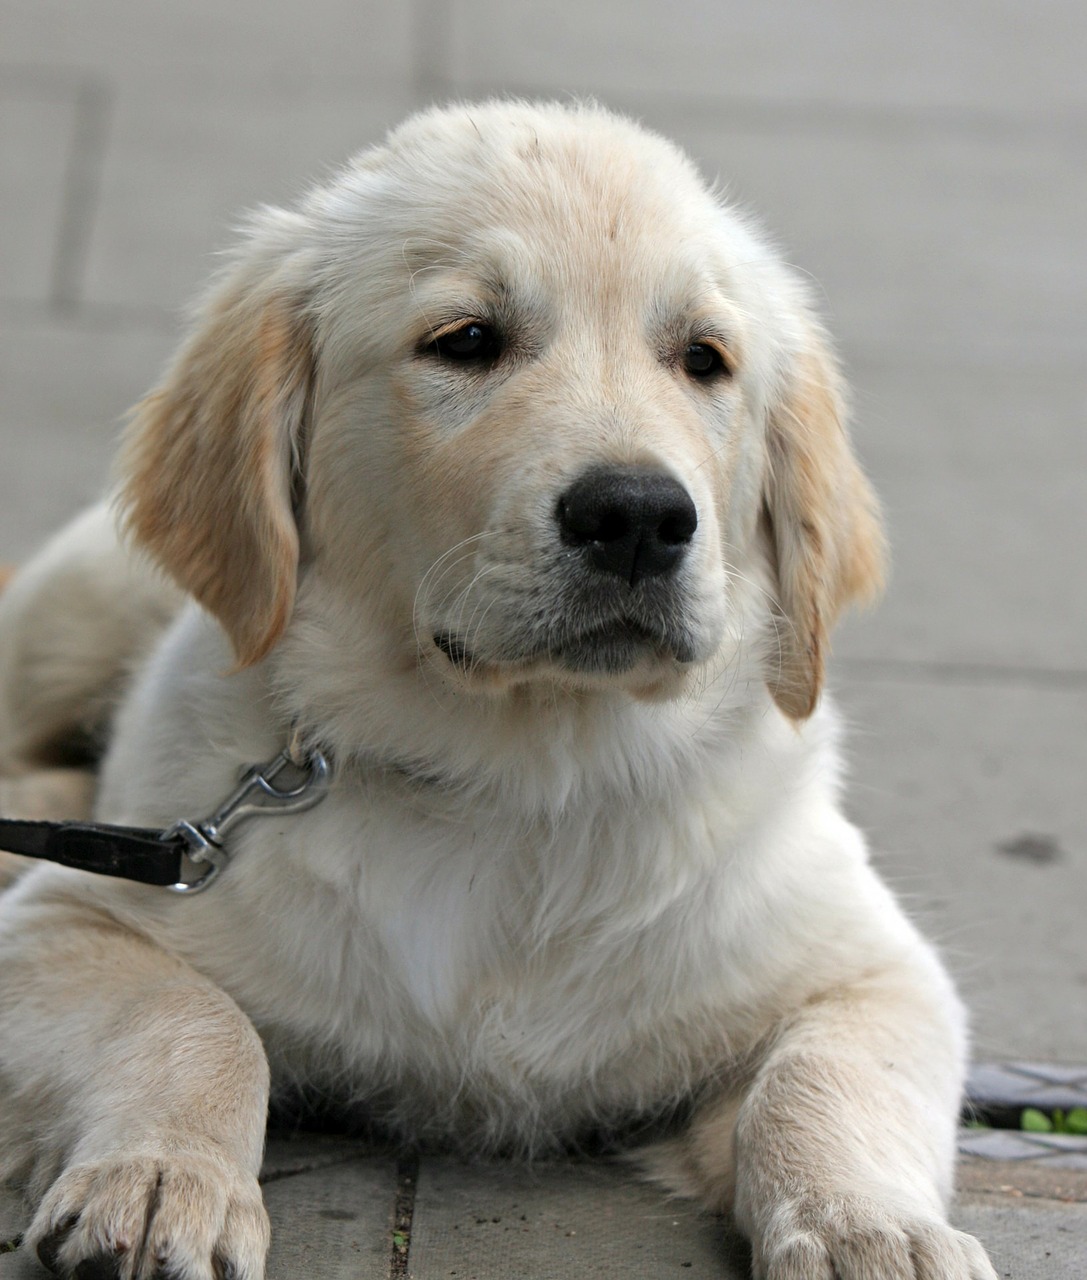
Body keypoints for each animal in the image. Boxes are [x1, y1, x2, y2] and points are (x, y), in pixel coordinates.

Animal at [0, 102, 998, 1280]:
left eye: (703, 360)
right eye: (467, 341)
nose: (638, 517)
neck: (522, 780)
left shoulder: (874, 972)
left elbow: (826, 1080)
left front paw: (868, 1227)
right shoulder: (59, 923)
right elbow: (195, 1019)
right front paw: (160, 1178)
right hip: (80, 600)